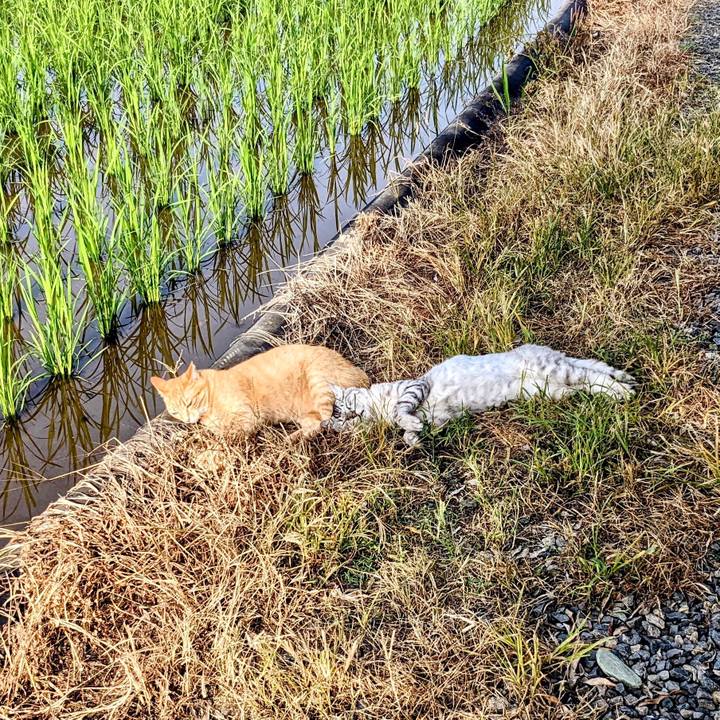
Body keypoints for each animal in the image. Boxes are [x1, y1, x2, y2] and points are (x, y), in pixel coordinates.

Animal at [151, 344, 370, 440]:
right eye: (175, 412)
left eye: (189, 402)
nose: (187, 420)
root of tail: (360, 372)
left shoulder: (247, 417)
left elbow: (227, 435)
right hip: (304, 413)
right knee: (315, 425)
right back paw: (291, 440)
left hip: (318, 381)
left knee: (327, 421)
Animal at [326, 344, 635, 445]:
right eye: (344, 421)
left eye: (348, 407)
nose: (351, 414)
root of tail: (546, 350)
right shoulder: (441, 419)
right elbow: (410, 431)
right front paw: (415, 438)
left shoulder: (415, 387)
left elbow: (402, 411)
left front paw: (409, 425)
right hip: (554, 389)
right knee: (591, 381)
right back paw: (619, 389)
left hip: (556, 371)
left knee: (594, 373)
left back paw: (623, 391)